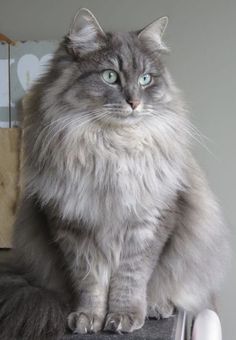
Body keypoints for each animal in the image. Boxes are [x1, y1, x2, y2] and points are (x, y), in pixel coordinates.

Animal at [0, 7, 229, 340]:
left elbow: (131, 279)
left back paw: (157, 307)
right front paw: (88, 318)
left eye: (145, 79)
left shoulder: (149, 224)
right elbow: (90, 282)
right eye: (110, 76)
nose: (134, 102)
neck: (112, 150)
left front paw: (124, 317)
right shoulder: (74, 228)